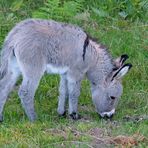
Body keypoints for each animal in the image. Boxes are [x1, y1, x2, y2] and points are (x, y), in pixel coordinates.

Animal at [0, 19, 132, 121]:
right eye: (112, 97)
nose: (110, 116)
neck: (90, 56)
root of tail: (16, 35)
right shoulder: (75, 73)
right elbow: (74, 93)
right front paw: (74, 115)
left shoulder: (65, 73)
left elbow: (64, 91)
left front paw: (62, 113)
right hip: (33, 69)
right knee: (26, 92)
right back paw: (34, 119)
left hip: (14, 67)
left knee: (4, 87)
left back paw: (1, 119)